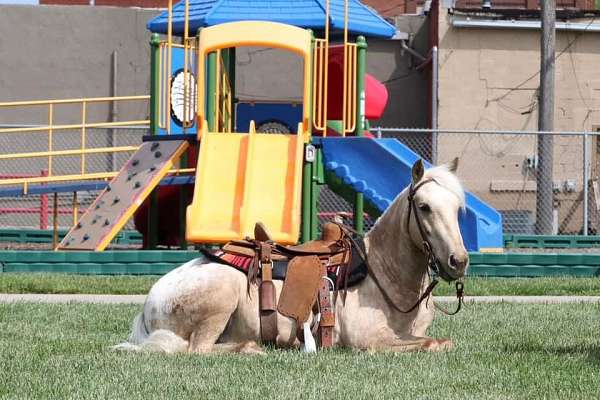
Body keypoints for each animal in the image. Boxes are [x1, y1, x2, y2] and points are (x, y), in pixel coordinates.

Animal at [113, 159, 468, 354]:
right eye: (424, 206)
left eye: (458, 208)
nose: (458, 261)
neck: (383, 275)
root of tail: (149, 303)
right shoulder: (369, 340)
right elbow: (433, 344)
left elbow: (442, 341)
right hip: (221, 296)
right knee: (196, 350)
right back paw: (251, 349)